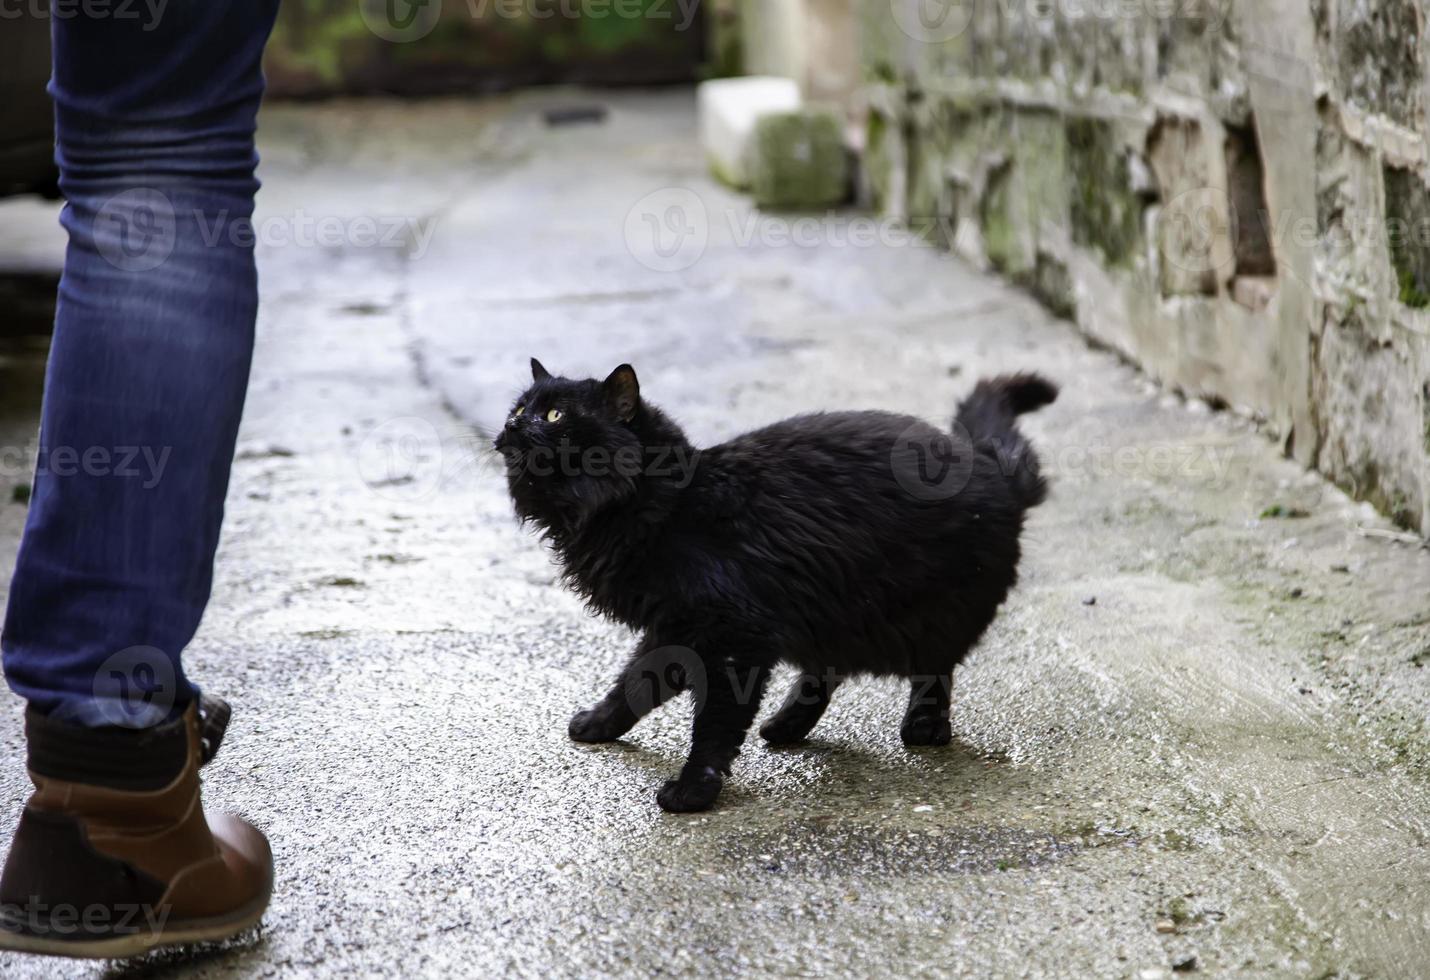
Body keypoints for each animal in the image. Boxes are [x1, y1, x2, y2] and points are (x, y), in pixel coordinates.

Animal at [497, 359, 1058, 812]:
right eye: (520, 407)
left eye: (555, 416)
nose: (511, 425)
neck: (662, 504)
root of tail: (988, 465)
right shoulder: (676, 629)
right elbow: (635, 684)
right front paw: (599, 725)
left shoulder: (731, 635)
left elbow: (714, 723)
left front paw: (694, 791)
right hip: (836, 610)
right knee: (826, 672)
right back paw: (787, 726)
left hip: (925, 611)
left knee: (933, 672)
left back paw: (924, 728)